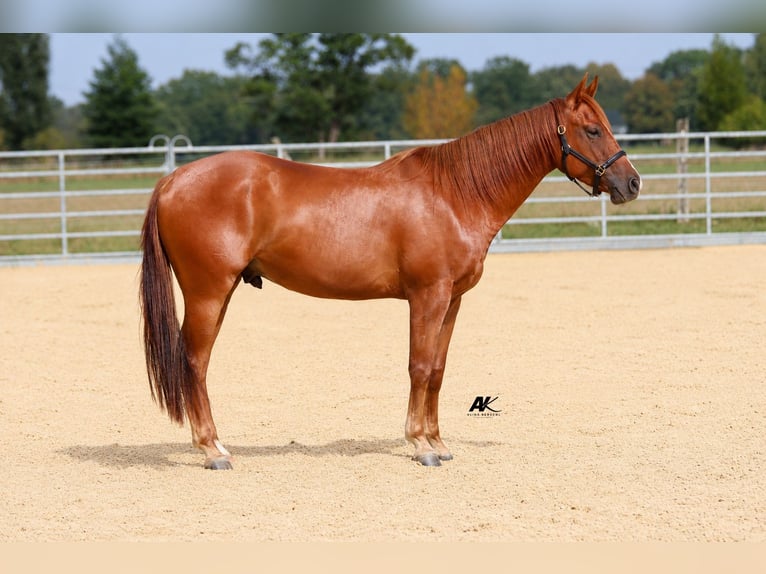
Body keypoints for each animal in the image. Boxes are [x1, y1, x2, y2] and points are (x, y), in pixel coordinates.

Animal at [139, 75, 641, 470]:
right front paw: (421, 446)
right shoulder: (427, 295)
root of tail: (173, 179)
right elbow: (418, 366)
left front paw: (438, 440)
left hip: (220, 293)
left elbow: (437, 369)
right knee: (195, 362)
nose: (632, 183)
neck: (454, 193)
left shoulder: (452, 300)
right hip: (207, 292)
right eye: (592, 129)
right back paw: (212, 451)